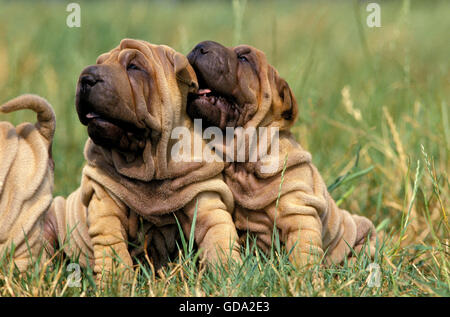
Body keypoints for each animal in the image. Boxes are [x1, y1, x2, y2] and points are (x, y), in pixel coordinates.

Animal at [44, 39, 243, 274]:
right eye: (100, 63)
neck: (151, 161)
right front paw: (114, 279)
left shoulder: (205, 196)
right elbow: (112, 246)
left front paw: (230, 273)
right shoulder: (104, 200)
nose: (86, 77)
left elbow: (219, 236)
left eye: (134, 67)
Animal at [185, 40, 376, 266]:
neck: (242, 161)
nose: (199, 46)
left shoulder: (299, 212)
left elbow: (303, 252)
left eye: (244, 58)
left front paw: (306, 275)